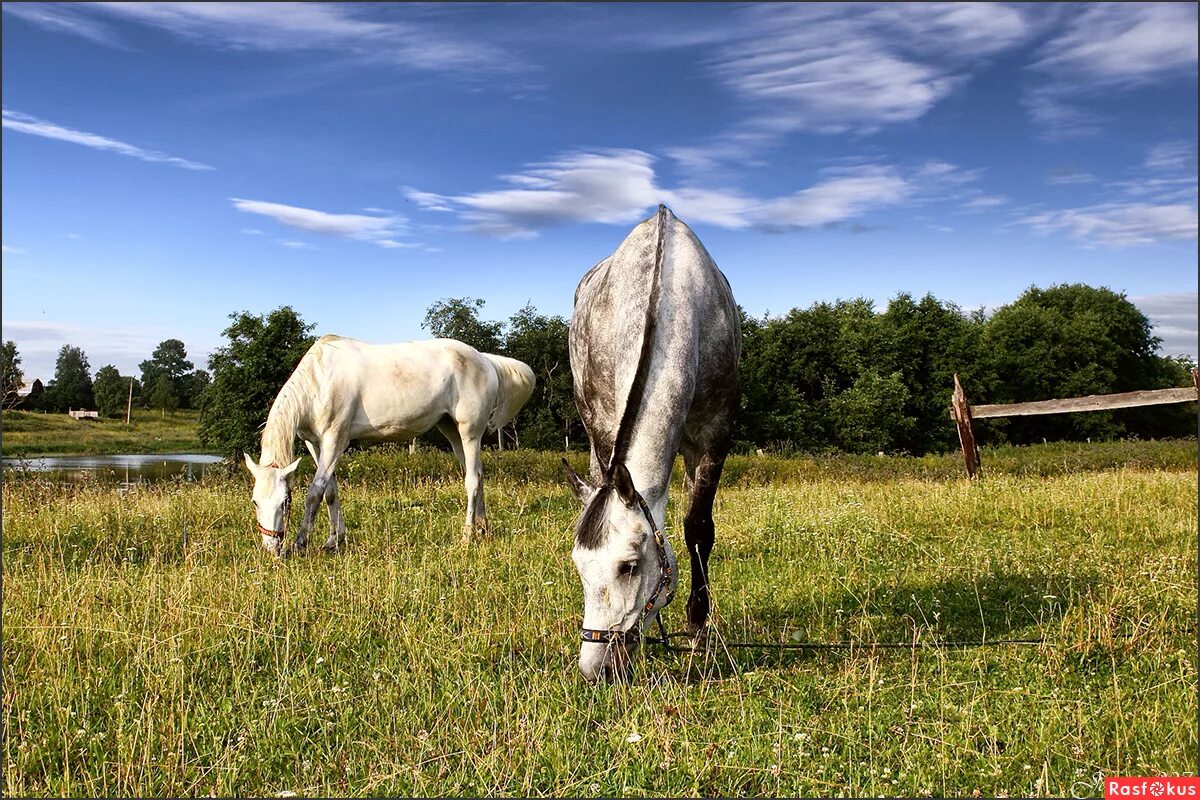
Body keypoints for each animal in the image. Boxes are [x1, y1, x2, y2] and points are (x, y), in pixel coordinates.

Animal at [243, 335, 535, 556]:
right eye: (255, 501)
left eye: (284, 501)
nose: (271, 547)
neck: (319, 381)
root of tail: (485, 360)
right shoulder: (315, 443)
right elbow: (330, 492)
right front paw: (333, 541)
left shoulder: (335, 439)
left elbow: (315, 492)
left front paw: (300, 544)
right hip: (452, 431)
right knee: (478, 475)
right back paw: (483, 529)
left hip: (470, 432)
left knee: (472, 480)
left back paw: (466, 536)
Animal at [561, 206, 739, 681]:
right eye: (579, 567)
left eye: (629, 567)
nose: (594, 668)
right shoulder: (605, 432)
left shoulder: (713, 435)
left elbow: (698, 528)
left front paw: (698, 631)